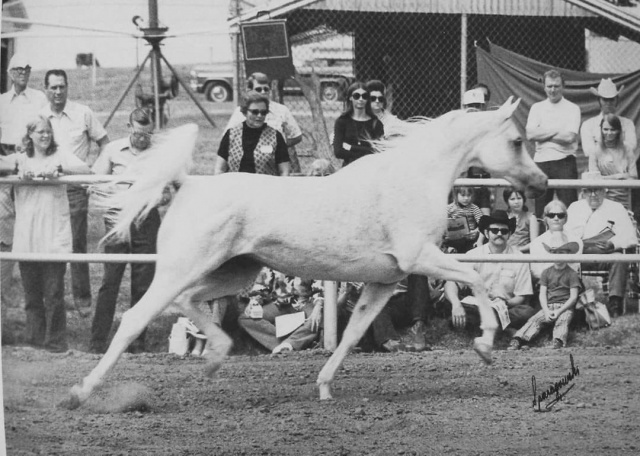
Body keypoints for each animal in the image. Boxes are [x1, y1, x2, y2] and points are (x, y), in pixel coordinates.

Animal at [62, 97, 548, 410]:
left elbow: (354, 333)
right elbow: (477, 279)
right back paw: (79, 394)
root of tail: (189, 182)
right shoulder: (420, 258)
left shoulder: (384, 281)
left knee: (190, 303)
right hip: (183, 268)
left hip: (234, 271)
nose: (542, 183)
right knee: (134, 318)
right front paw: (485, 346)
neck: (411, 177)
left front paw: (325, 387)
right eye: (516, 141)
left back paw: (216, 357)